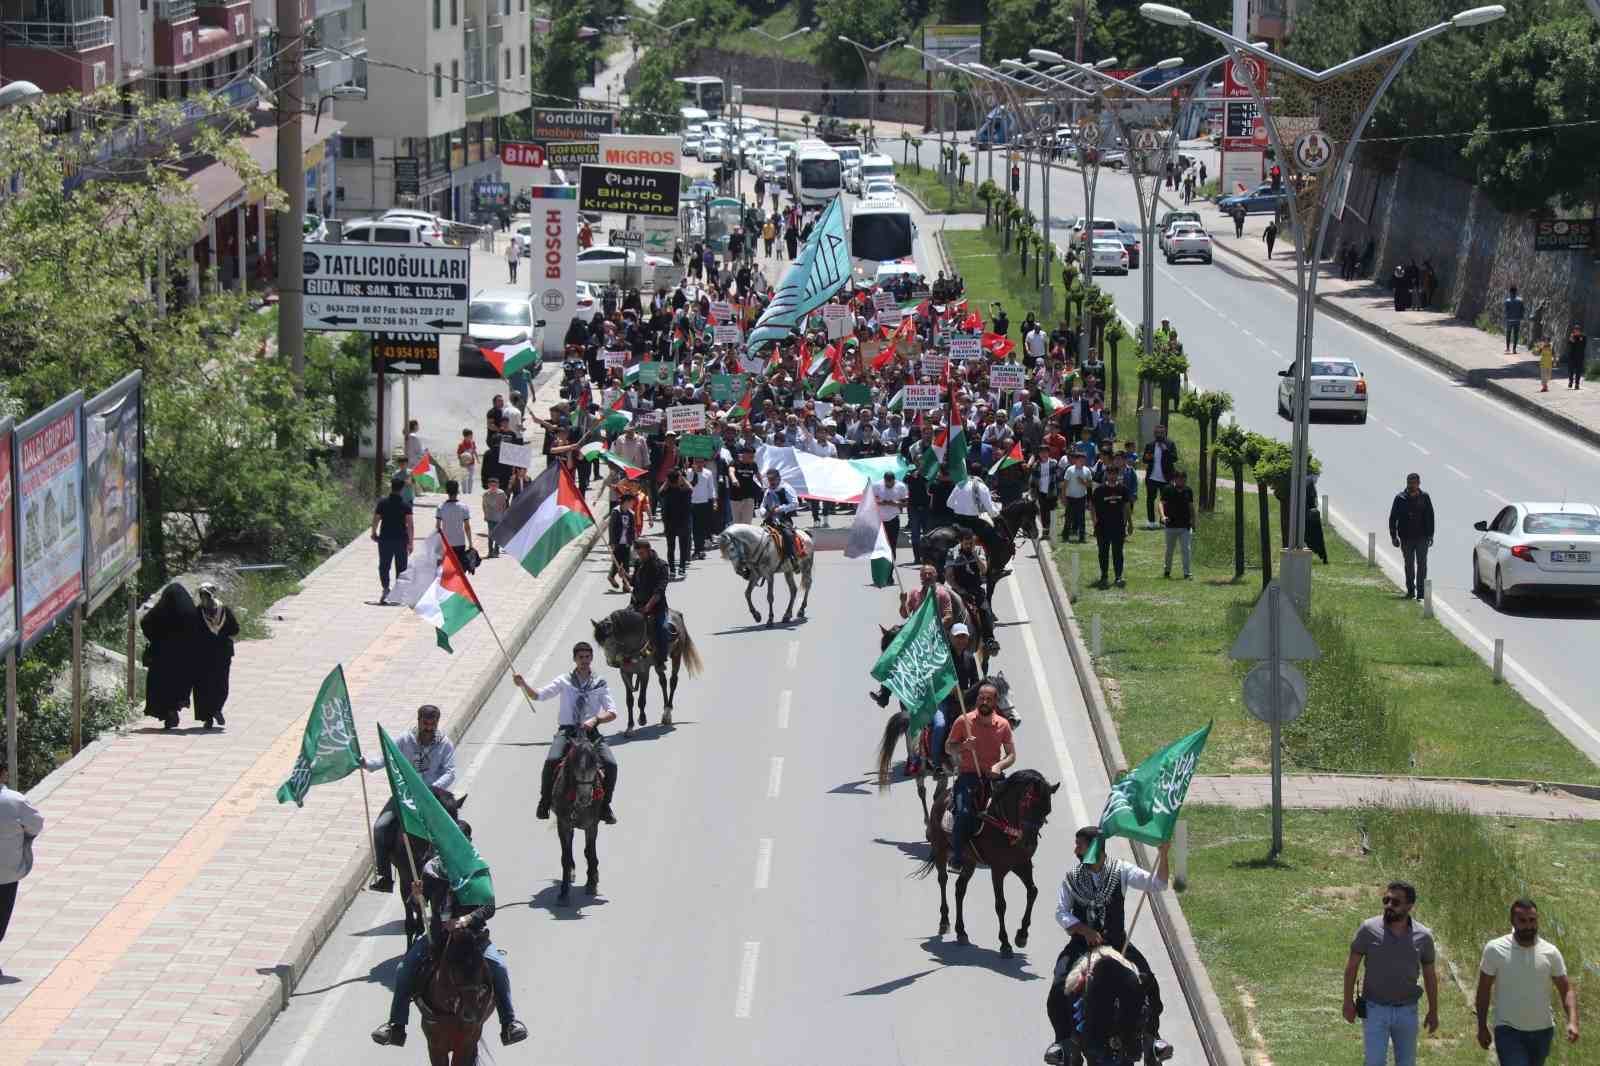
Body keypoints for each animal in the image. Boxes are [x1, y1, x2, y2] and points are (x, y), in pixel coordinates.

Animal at [921, 765, 1056, 953]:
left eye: (1047, 811)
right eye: (1027, 805)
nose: (1029, 844)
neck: (1003, 823)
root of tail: (942, 797)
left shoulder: (1022, 864)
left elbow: (1033, 892)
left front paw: (1022, 935)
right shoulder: (998, 870)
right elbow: (1001, 904)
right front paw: (1005, 943)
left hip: (969, 860)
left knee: (960, 888)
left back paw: (961, 931)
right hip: (941, 850)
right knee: (943, 880)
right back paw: (944, 922)